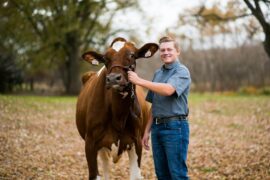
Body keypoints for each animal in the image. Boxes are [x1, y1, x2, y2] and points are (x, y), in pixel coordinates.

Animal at [76, 37, 158, 179]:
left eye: (132, 55)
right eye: (105, 59)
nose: (114, 78)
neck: (118, 116)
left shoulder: (136, 142)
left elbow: (135, 176)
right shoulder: (90, 143)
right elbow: (95, 175)